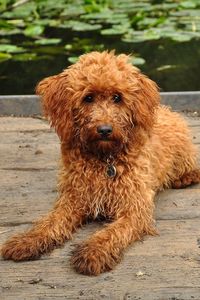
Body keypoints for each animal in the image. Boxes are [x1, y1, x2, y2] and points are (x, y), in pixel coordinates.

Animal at [0, 51, 199, 274]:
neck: (104, 160)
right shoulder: (72, 200)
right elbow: (50, 223)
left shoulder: (134, 208)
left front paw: (94, 252)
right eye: (88, 98)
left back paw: (186, 177)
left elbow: (112, 232)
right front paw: (27, 240)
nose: (104, 129)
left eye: (117, 97)